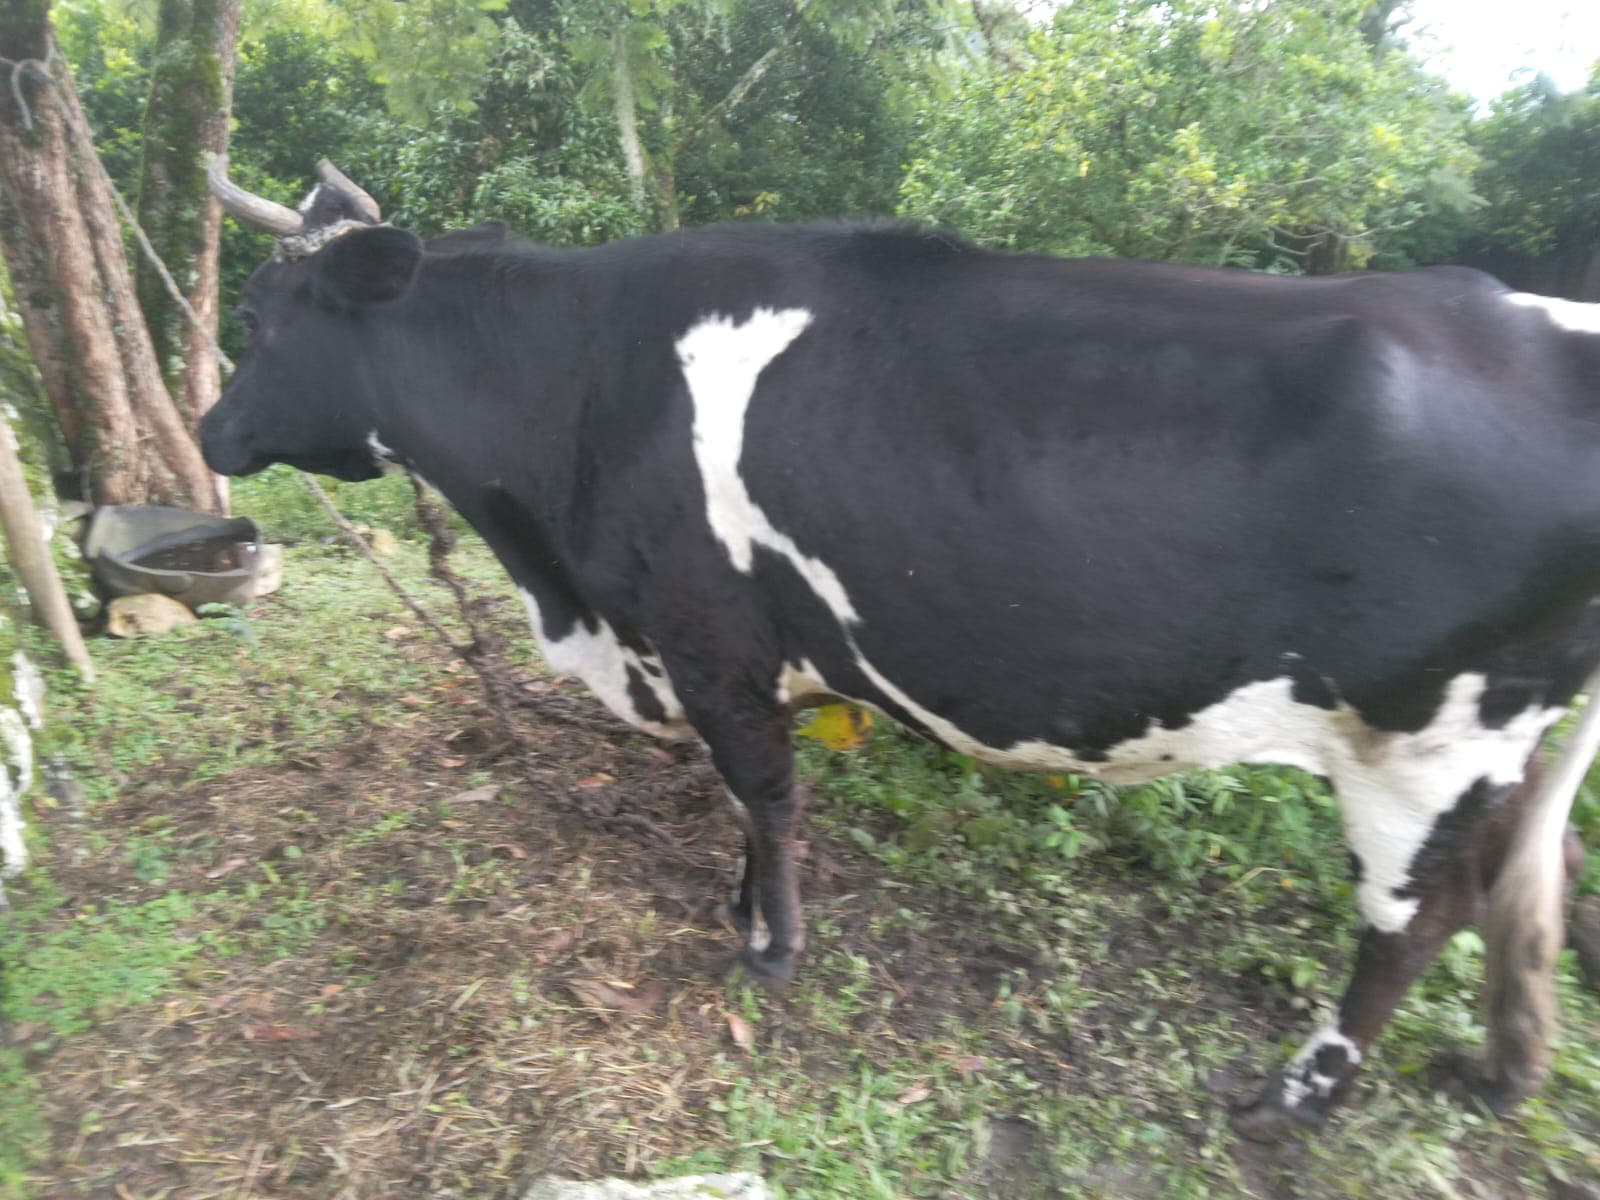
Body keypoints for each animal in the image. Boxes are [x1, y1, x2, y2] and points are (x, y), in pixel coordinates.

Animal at [201, 157, 1600, 1139]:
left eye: (261, 317)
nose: (211, 433)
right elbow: (743, 799)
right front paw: (741, 908)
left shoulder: (711, 636)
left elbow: (763, 794)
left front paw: (768, 947)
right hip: (1505, 743)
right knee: (1522, 882)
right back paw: (1498, 1068)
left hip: (1424, 740)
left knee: (1411, 923)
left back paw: (1292, 1101)